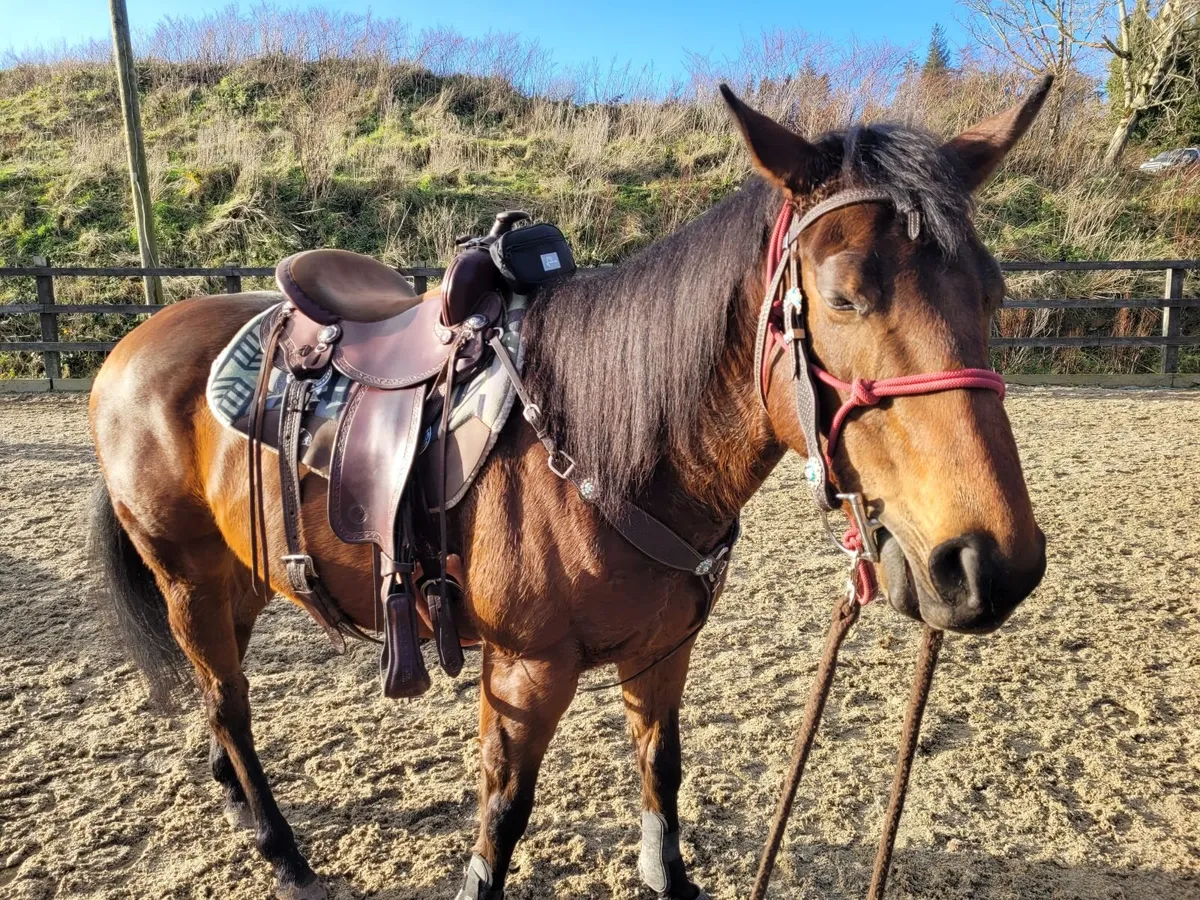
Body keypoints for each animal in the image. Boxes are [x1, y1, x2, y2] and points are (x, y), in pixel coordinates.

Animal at [88, 81, 1050, 900]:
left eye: (994, 291)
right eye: (846, 295)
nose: (990, 564)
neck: (608, 449)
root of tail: (135, 340)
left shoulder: (662, 653)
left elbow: (661, 772)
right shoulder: (525, 672)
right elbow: (503, 818)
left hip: (241, 578)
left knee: (223, 698)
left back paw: (238, 800)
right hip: (187, 579)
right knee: (227, 701)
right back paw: (282, 851)